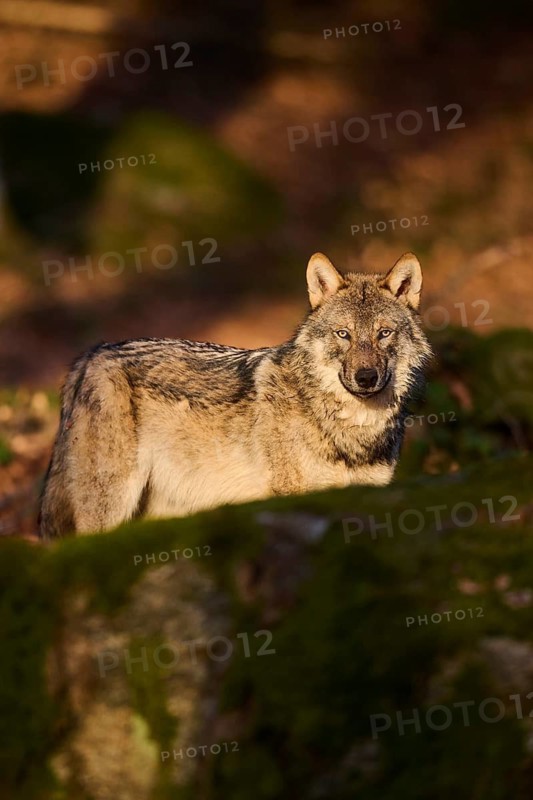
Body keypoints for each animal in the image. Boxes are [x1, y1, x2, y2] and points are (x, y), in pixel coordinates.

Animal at [39, 252, 432, 537]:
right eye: (343, 334)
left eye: (383, 333)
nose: (366, 378)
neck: (352, 429)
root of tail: (91, 355)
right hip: (111, 508)